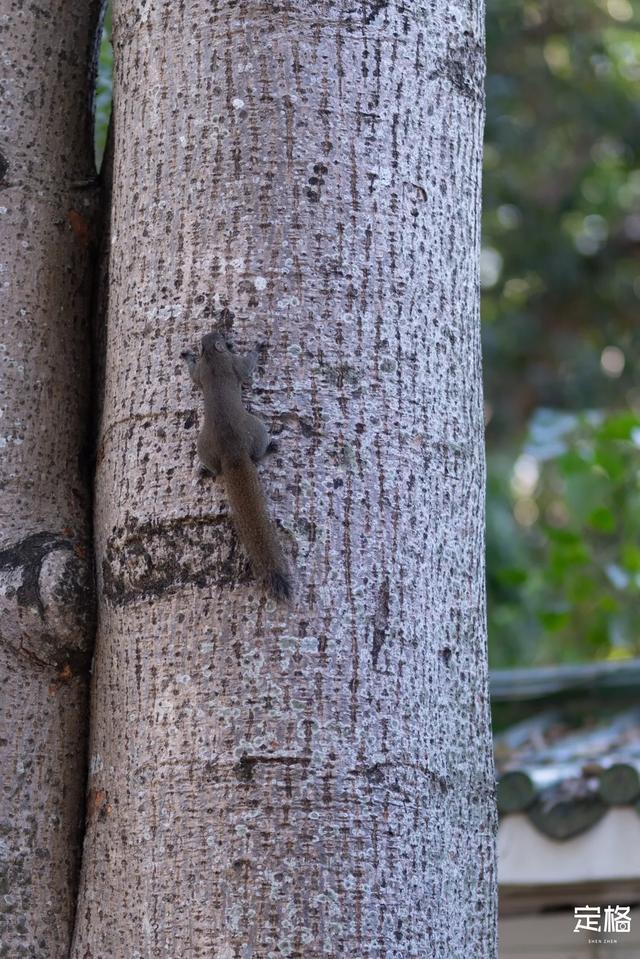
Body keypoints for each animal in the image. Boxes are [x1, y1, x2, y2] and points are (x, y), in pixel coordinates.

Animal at [180, 330, 290, 600]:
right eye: (221, 336)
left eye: (213, 335)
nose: (224, 335)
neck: (212, 357)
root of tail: (233, 454)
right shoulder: (235, 365)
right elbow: (247, 367)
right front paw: (258, 347)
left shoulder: (202, 372)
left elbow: (193, 374)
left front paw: (187, 355)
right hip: (257, 428)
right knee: (257, 454)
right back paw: (270, 449)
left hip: (203, 446)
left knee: (215, 468)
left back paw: (204, 470)